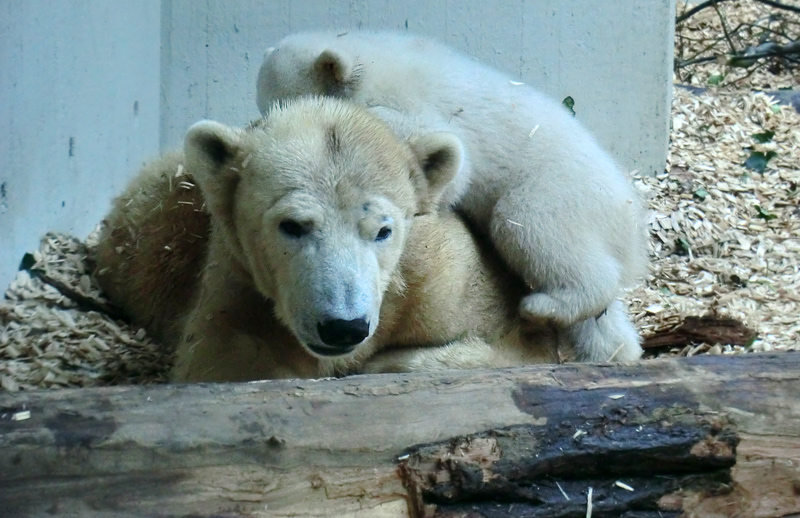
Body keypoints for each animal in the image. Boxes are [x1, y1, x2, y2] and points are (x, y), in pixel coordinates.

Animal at [95, 97, 568, 384]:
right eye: (292, 225)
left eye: (383, 229)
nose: (343, 326)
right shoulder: (234, 277)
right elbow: (220, 359)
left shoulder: (447, 278)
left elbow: (523, 349)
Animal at [258, 31, 648, 366]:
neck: (369, 64)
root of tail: (630, 226)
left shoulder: (415, 103)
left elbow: (448, 158)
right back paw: (614, 352)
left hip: (560, 191)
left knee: (533, 228)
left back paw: (542, 305)